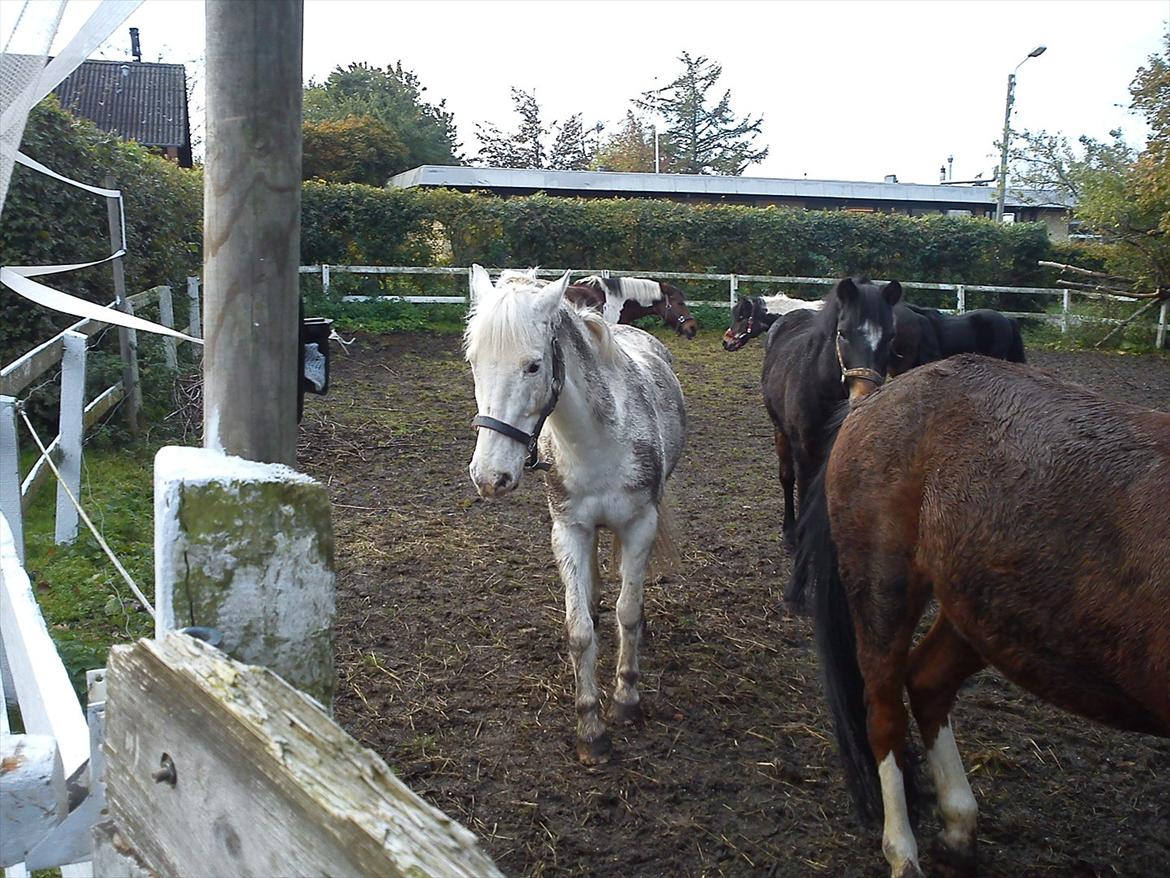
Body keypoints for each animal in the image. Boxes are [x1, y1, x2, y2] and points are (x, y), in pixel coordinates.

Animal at [760, 277, 902, 548]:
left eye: (891, 337)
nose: (864, 397)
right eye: (842, 333)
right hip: (779, 431)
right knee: (786, 477)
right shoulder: (804, 452)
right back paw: (789, 531)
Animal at [791, 355, 1170, 878]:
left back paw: (959, 828)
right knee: (884, 711)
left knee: (927, 681)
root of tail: (875, 400)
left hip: (986, 613)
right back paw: (903, 850)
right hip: (886, 589)